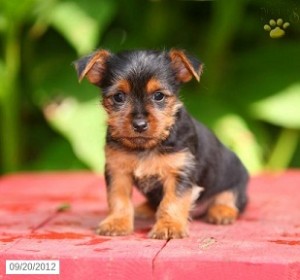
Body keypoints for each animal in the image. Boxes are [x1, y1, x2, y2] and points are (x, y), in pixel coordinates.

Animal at [74, 48, 248, 238]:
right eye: (118, 97)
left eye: (159, 96)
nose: (139, 124)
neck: (145, 147)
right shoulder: (118, 170)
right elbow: (118, 198)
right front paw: (117, 223)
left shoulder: (179, 171)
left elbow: (172, 201)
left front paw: (169, 226)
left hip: (235, 178)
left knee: (229, 198)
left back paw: (221, 211)